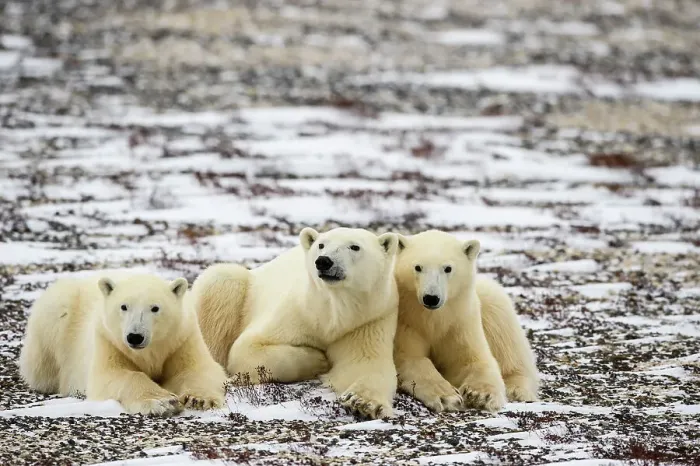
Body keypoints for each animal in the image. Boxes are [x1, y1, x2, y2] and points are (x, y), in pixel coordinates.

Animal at [19, 272, 227, 416]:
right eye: (124, 306)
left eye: (155, 308)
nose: (135, 337)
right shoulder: (108, 339)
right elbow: (113, 375)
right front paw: (164, 402)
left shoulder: (181, 339)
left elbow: (197, 369)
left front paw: (199, 399)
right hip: (56, 319)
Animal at [191, 226, 400, 419]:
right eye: (321, 245)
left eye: (354, 246)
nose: (323, 261)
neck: (331, 314)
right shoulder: (297, 312)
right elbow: (248, 348)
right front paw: (318, 359)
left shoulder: (367, 320)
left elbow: (365, 363)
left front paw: (364, 403)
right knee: (221, 278)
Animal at [393, 230, 539, 413]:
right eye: (417, 267)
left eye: (448, 268)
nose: (431, 298)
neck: (433, 318)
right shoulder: (407, 323)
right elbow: (411, 359)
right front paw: (447, 397)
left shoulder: (460, 322)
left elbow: (472, 359)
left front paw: (481, 395)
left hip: (489, 301)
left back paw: (518, 390)